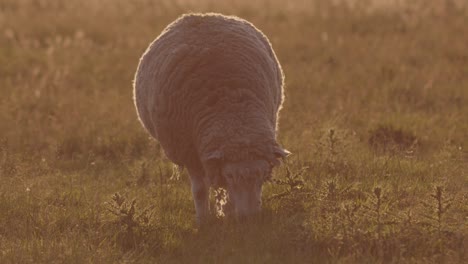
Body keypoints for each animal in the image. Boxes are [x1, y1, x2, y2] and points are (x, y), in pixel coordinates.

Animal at [133, 12, 288, 223]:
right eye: (230, 176)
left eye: (263, 175)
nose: (250, 217)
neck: (233, 113)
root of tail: (203, 15)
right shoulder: (190, 152)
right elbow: (200, 190)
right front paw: (204, 220)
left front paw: (228, 212)